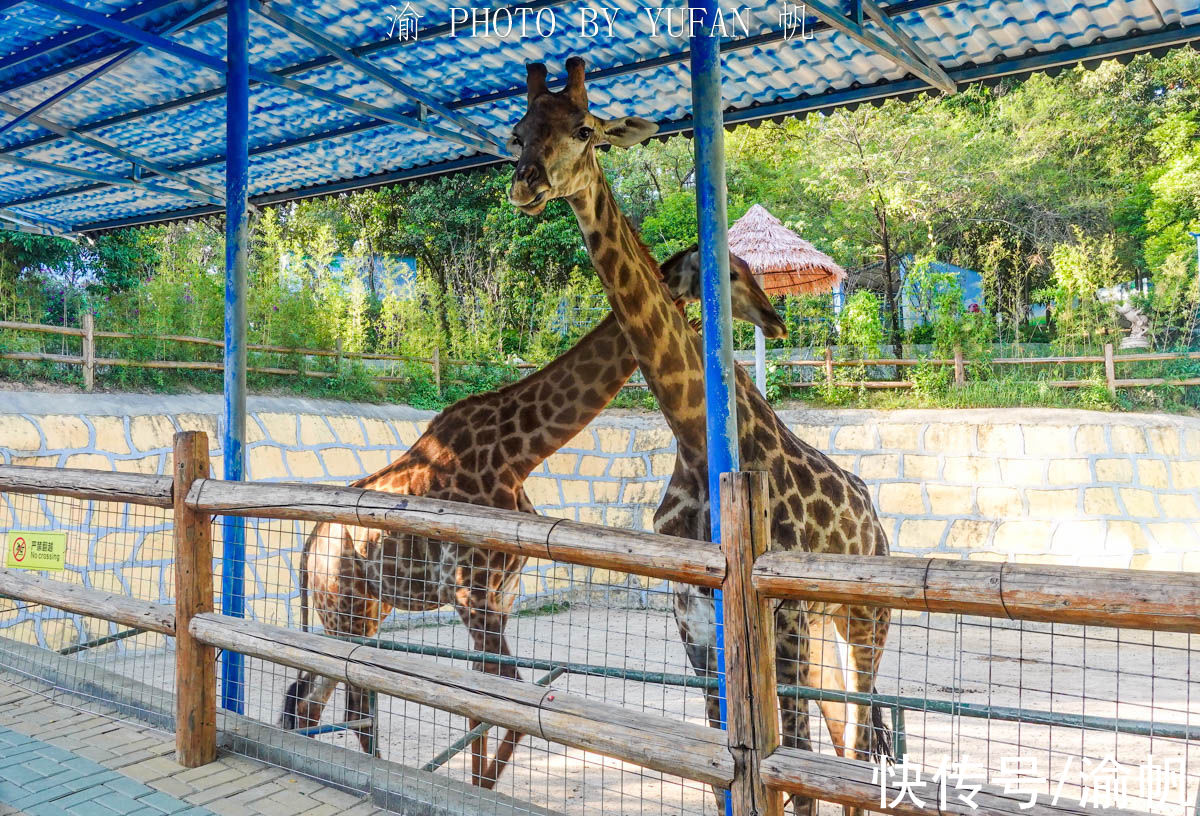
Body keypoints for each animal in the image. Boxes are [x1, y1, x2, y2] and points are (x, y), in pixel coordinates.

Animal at [277, 241, 792, 782]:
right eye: (731, 273)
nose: (776, 321)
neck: (517, 453)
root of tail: (307, 550)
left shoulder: (499, 597)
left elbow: (485, 705)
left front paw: (482, 783)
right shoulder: (471, 594)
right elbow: (509, 704)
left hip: (362, 612)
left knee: (308, 699)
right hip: (347, 609)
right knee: (348, 705)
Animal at [506, 59, 892, 816]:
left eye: (586, 129)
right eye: (520, 129)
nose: (526, 183)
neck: (696, 439)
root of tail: (876, 520)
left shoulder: (780, 617)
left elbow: (787, 774)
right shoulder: (694, 622)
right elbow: (726, 770)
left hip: (864, 620)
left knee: (864, 744)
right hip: (826, 632)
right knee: (851, 741)